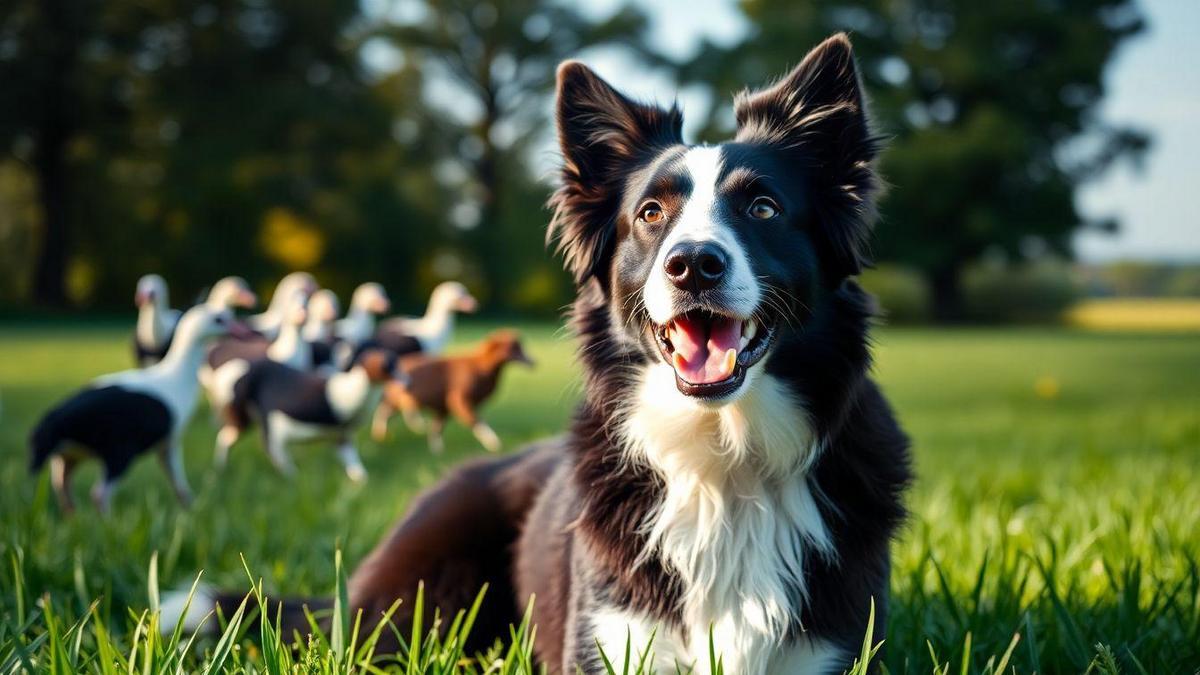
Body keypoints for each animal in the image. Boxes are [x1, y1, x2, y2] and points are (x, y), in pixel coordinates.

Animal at [166, 32, 907, 672]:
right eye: (650, 214)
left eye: (762, 208)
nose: (693, 264)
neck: (721, 460)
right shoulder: (611, 641)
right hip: (417, 601)